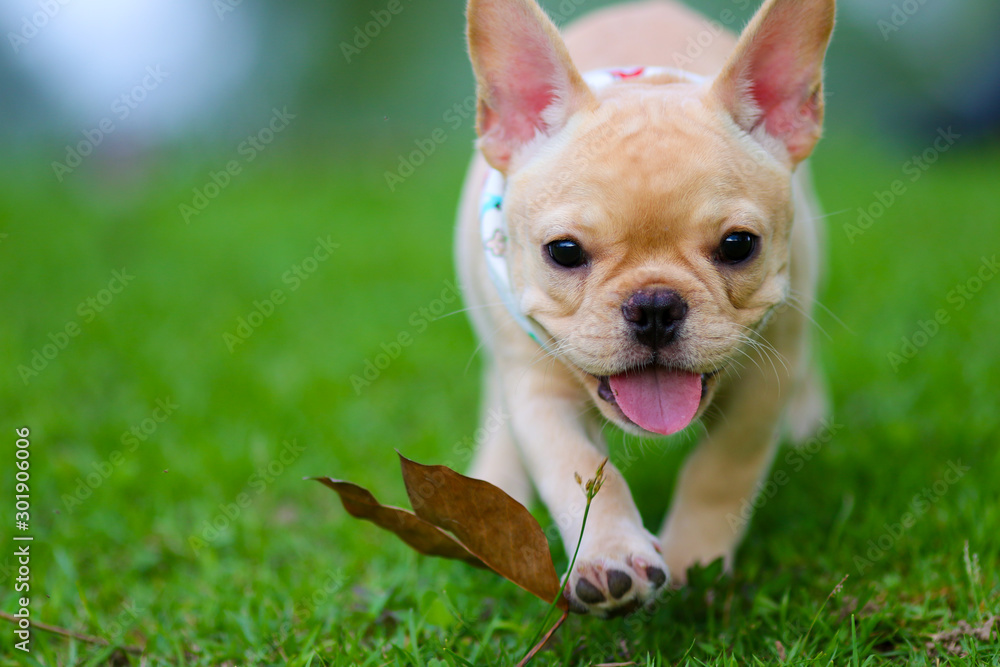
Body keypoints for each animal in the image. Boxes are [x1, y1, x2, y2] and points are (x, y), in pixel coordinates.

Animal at [458, 0, 832, 620]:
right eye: (564, 252)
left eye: (739, 245)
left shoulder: (763, 382)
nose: (655, 305)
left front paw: (692, 560)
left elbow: (720, 470)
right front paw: (611, 557)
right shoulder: (539, 391)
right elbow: (576, 468)